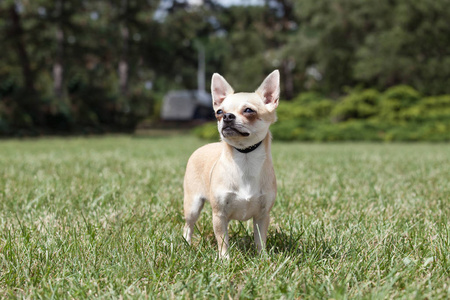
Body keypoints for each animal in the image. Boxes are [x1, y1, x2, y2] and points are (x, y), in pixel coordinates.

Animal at [182, 70, 280, 258]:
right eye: (219, 112)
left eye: (249, 110)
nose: (227, 116)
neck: (245, 157)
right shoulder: (219, 215)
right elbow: (223, 241)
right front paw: (225, 259)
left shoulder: (263, 216)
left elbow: (260, 240)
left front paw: (263, 258)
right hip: (193, 205)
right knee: (188, 226)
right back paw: (186, 245)